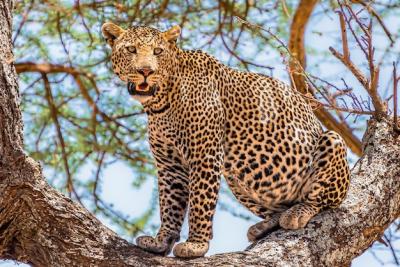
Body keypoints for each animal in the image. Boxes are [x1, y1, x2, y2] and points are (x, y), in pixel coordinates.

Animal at [101, 22, 348, 260]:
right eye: (131, 49)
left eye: (158, 51)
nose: (145, 71)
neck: (160, 103)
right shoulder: (170, 165)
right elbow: (169, 204)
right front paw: (161, 242)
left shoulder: (205, 156)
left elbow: (200, 203)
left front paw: (196, 245)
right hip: (238, 178)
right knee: (277, 209)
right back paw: (265, 225)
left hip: (332, 142)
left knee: (323, 200)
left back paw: (298, 213)